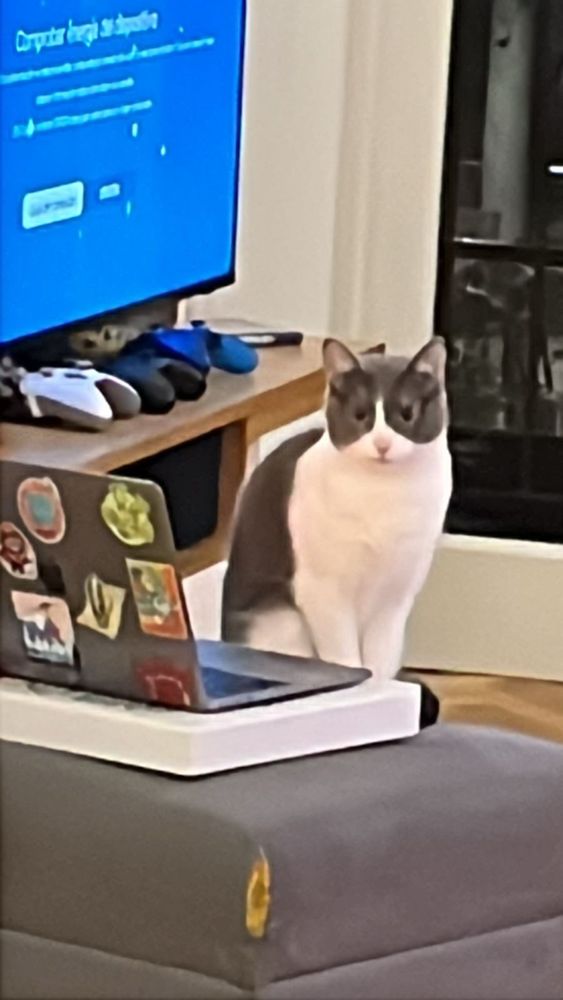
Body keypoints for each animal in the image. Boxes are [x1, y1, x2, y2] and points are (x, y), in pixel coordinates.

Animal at [222, 337, 452, 698]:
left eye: (407, 413)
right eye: (360, 414)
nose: (382, 443)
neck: (384, 496)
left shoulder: (396, 594)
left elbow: (381, 658)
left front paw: (382, 690)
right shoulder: (324, 591)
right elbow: (345, 658)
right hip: (280, 622)